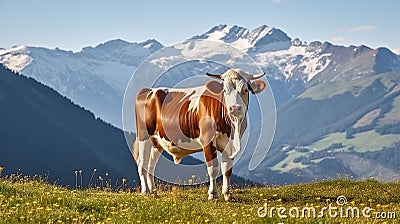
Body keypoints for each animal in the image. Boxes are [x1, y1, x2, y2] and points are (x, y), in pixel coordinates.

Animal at [133, 68, 268, 201]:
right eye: (225, 90)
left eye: (245, 90)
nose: (234, 108)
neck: (230, 127)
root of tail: (148, 90)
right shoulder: (207, 140)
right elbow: (213, 168)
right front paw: (213, 194)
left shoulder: (230, 144)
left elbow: (227, 169)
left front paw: (228, 194)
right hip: (144, 136)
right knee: (142, 164)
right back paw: (145, 192)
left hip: (157, 141)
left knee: (151, 165)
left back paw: (153, 192)